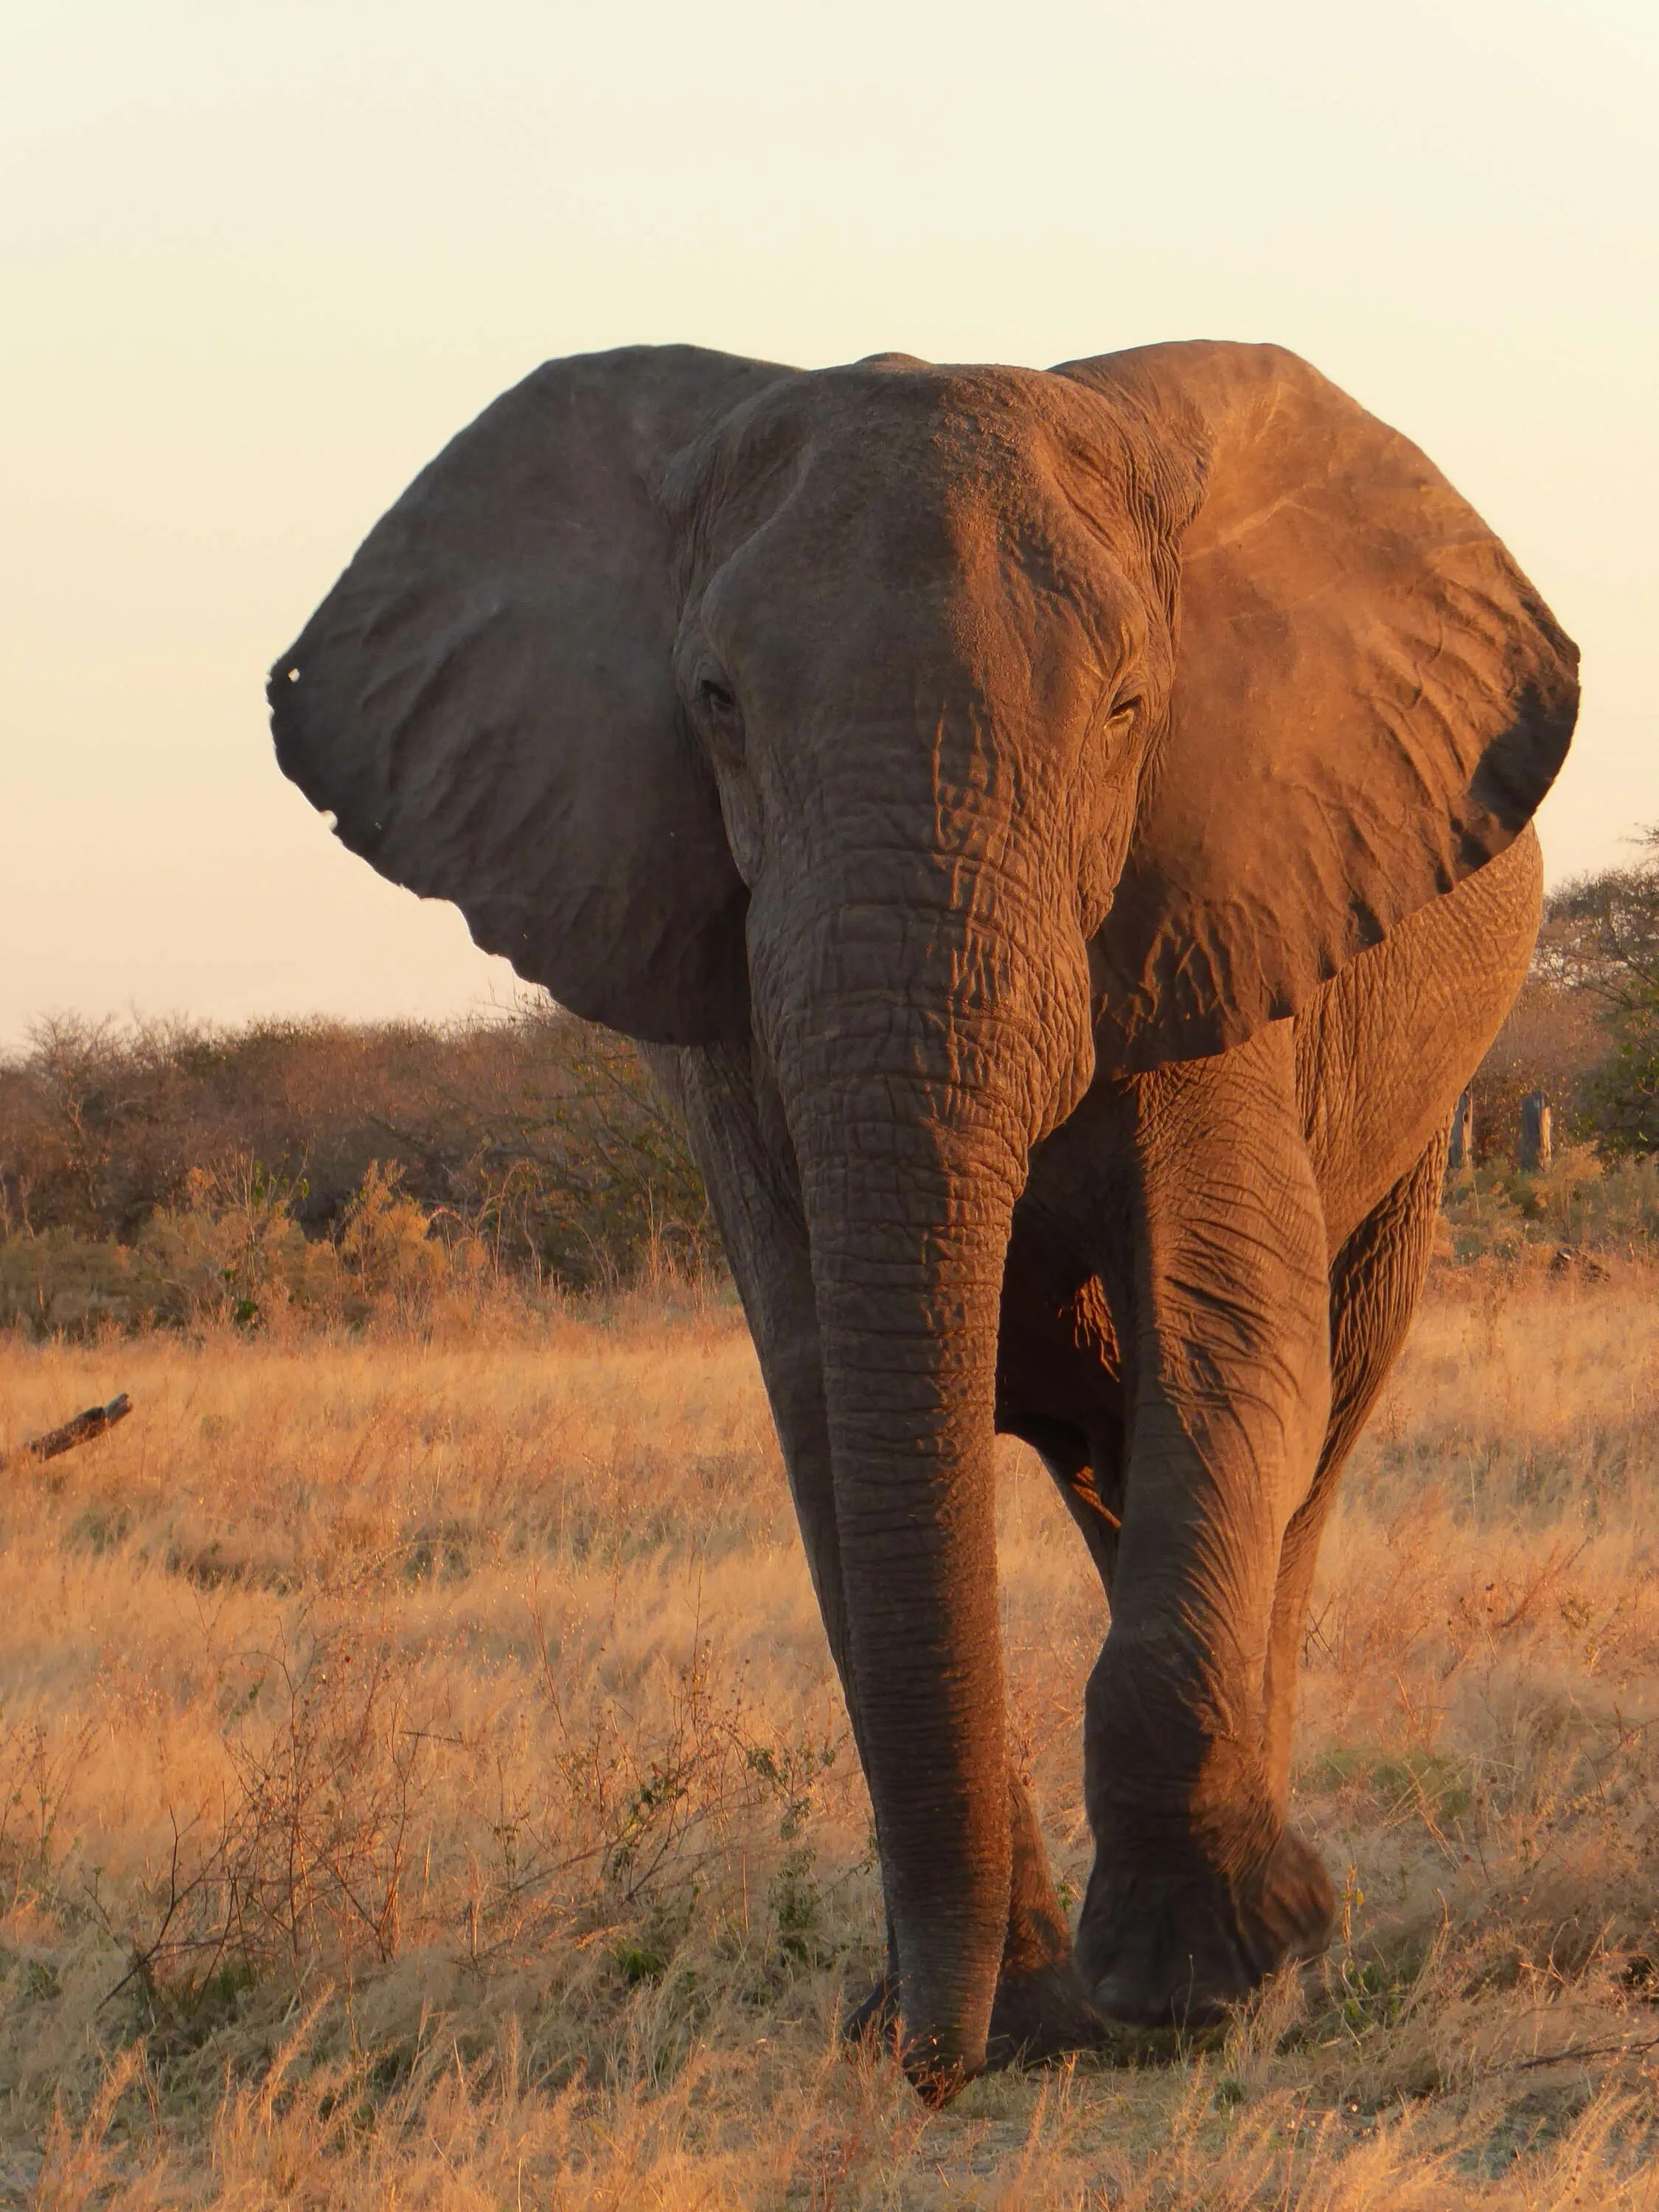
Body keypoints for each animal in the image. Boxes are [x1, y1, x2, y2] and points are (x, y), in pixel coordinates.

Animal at [269, 339, 1577, 2100]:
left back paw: (1279, 1948)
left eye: (1129, 708)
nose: (927, 2063)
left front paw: (1189, 1996)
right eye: (715, 704)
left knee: (1307, 1440)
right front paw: (1029, 2019)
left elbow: (1227, 1344)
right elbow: (828, 1396)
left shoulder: (1218, 914)